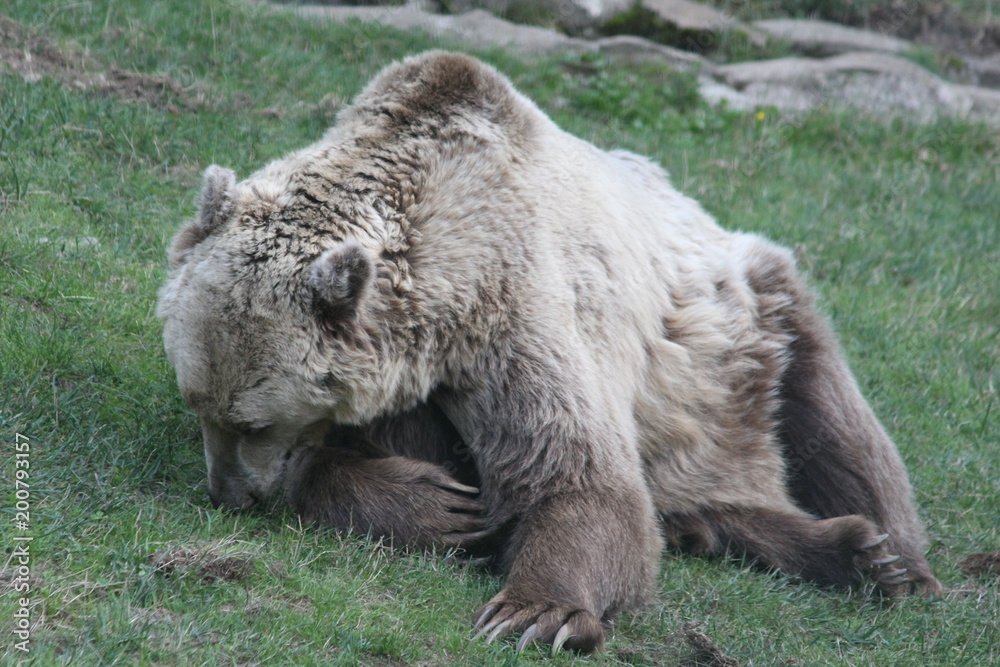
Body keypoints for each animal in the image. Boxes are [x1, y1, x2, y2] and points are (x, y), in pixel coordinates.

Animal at [156, 51, 936, 652]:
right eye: (197, 403)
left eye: (252, 420)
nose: (228, 492)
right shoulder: (411, 371)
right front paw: (439, 505)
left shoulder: (516, 308)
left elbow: (578, 473)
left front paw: (537, 612)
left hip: (746, 321)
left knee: (836, 425)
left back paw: (888, 560)